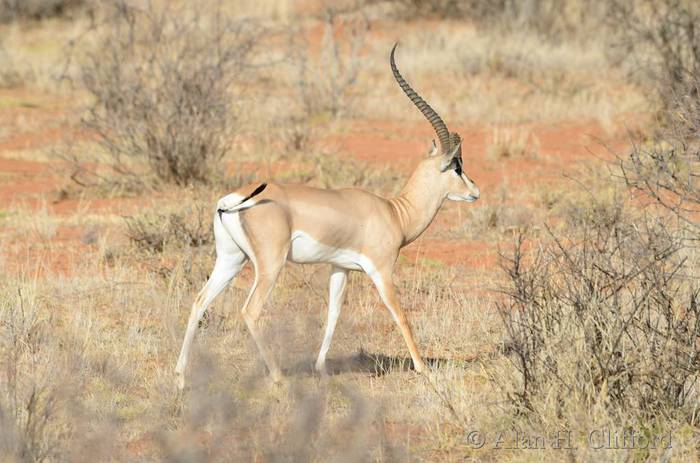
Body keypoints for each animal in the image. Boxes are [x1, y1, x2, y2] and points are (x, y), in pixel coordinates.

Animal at [175, 44, 480, 389]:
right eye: (457, 166)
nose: (475, 191)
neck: (394, 212)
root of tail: (233, 200)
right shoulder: (381, 270)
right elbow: (399, 314)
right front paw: (424, 369)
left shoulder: (340, 268)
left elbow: (332, 315)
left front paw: (321, 368)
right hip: (270, 265)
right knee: (250, 311)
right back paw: (278, 377)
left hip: (230, 259)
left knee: (199, 302)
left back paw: (181, 379)